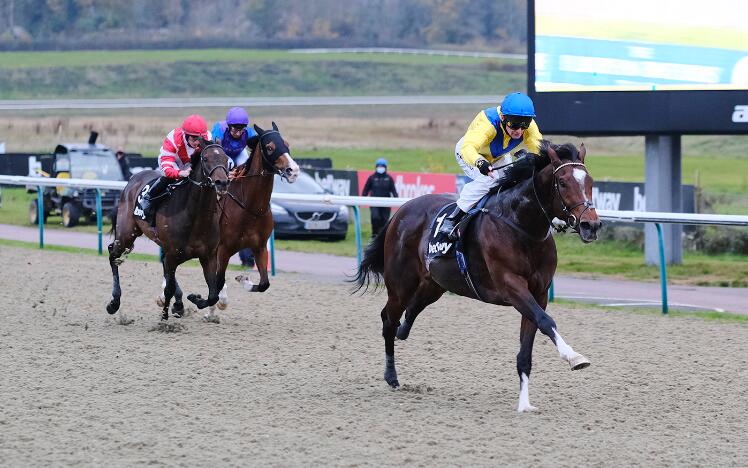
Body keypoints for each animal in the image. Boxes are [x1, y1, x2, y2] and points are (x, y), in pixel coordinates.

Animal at [103, 141, 229, 320]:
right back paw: (114, 302)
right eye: (205, 158)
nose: (222, 183)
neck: (196, 216)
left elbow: (213, 295)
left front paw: (193, 299)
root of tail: (133, 179)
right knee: (113, 255)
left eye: (226, 158)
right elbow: (168, 288)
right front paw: (164, 318)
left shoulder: (208, 256)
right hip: (126, 234)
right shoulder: (172, 253)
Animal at [171, 122, 300, 320]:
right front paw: (202, 301)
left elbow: (264, 284)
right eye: (270, 147)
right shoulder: (222, 250)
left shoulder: (259, 247)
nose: (293, 170)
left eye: (286, 144)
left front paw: (243, 279)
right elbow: (217, 284)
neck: (249, 207)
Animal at [354, 141, 604, 412]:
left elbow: (527, 349)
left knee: (410, 311)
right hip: (401, 284)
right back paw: (391, 376)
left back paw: (403, 333)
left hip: (434, 283)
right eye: (563, 182)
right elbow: (546, 321)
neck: (522, 226)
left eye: (590, 181)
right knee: (388, 319)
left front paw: (524, 404)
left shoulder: (538, 293)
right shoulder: (511, 286)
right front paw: (574, 357)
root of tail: (401, 211)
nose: (591, 225)